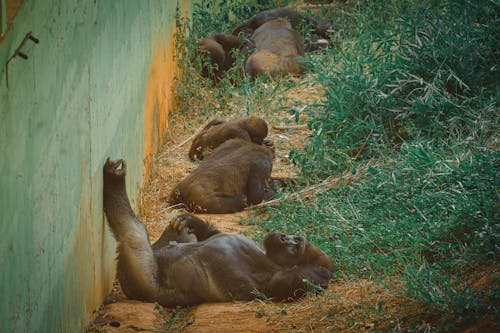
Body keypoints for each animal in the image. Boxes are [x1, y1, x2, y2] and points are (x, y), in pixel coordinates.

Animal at [103, 158, 334, 306]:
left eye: (295, 246)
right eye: (294, 238)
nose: (284, 237)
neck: (269, 259)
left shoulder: (289, 278)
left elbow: (279, 286)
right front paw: (193, 222)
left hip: (140, 284)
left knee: (133, 235)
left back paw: (114, 182)